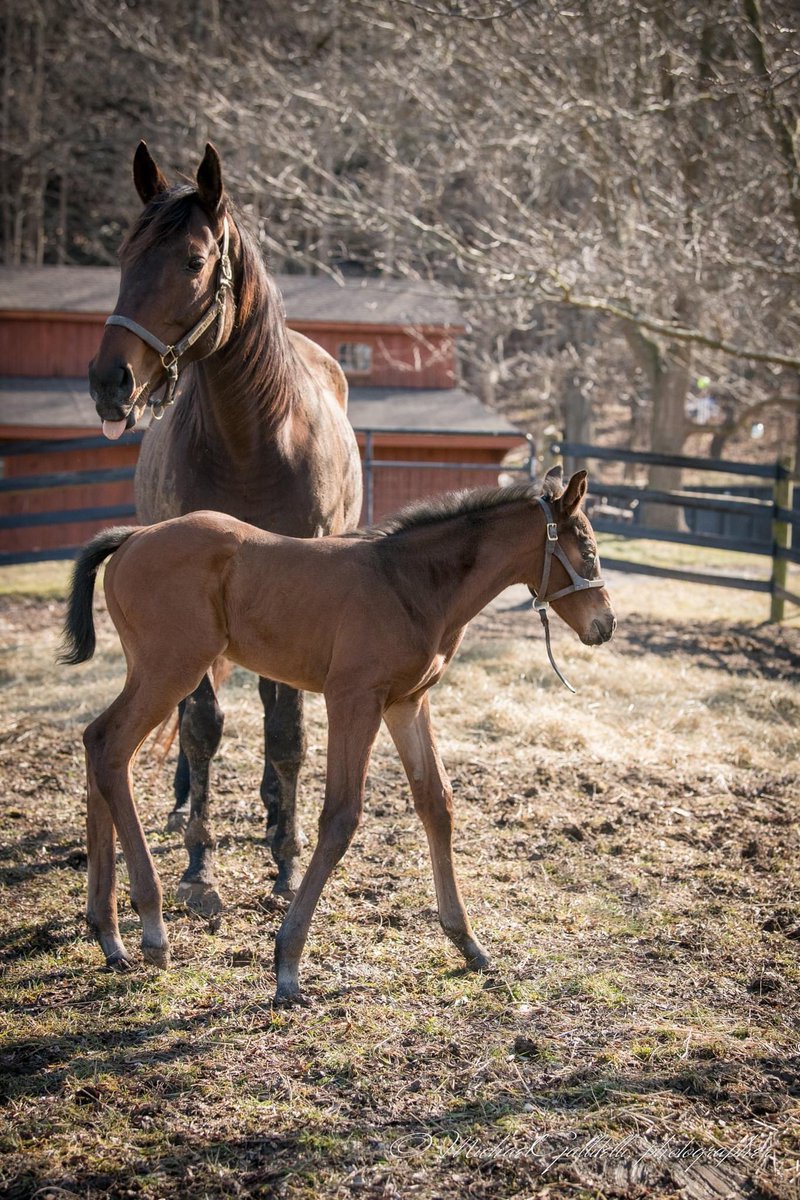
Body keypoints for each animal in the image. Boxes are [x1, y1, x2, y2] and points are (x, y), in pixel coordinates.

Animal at [62, 468, 618, 1003]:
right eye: (588, 551)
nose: (606, 624)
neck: (408, 583)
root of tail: (134, 536)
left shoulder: (407, 703)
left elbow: (436, 803)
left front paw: (468, 942)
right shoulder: (353, 699)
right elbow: (341, 816)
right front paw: (287, 964)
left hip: (152, 671)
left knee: (96, 740)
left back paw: (108, 935)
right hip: (172, 668)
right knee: (112, 749)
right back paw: (152, 930)